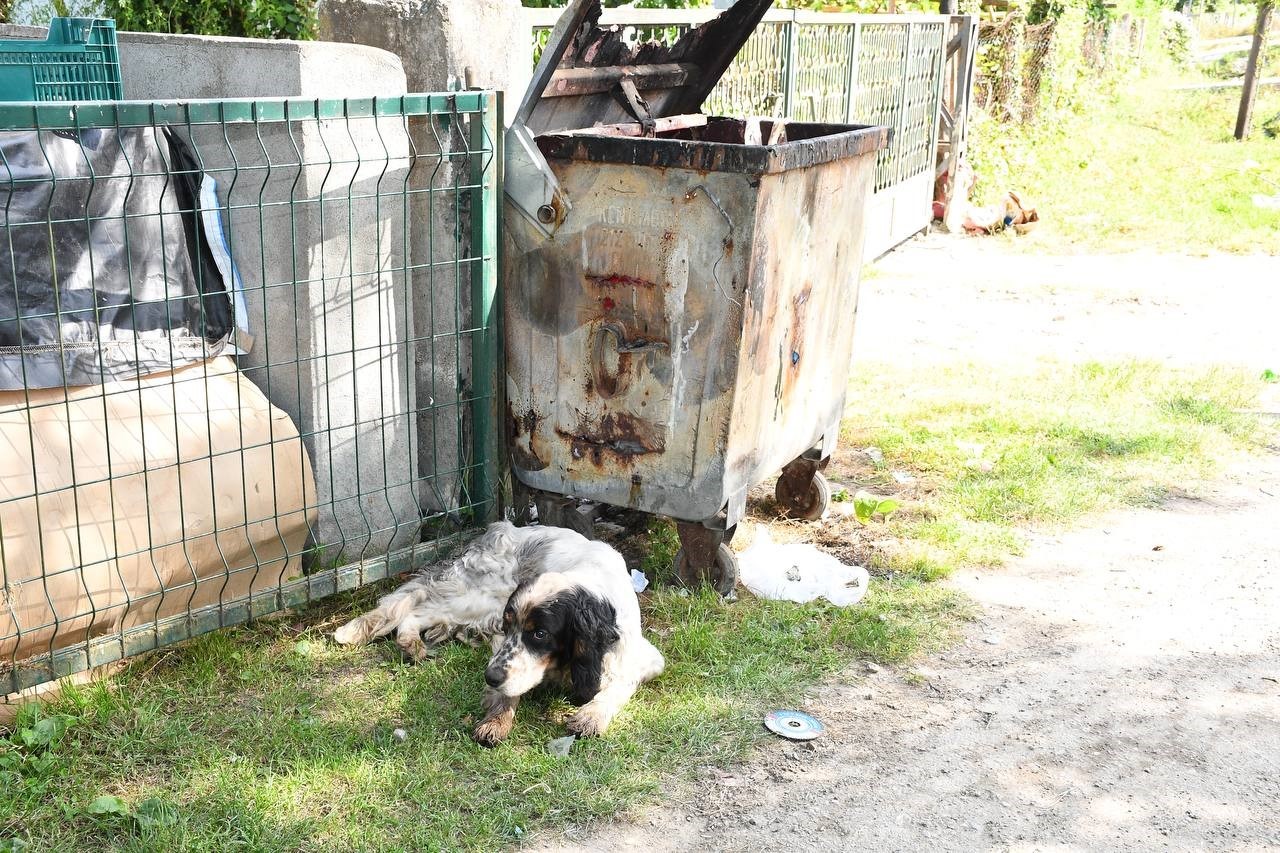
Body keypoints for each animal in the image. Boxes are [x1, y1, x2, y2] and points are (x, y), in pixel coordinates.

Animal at [330, 514, 665, 742]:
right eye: (510, 625)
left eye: (540, 633)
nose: (489, 677)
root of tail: (494, 532)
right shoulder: (502, 636)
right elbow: (506, 688)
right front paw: (496, 721)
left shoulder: (644, 656)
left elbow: (619, 685)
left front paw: (591, 716)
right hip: (479, 598)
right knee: (416, 607)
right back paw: (410, 643)